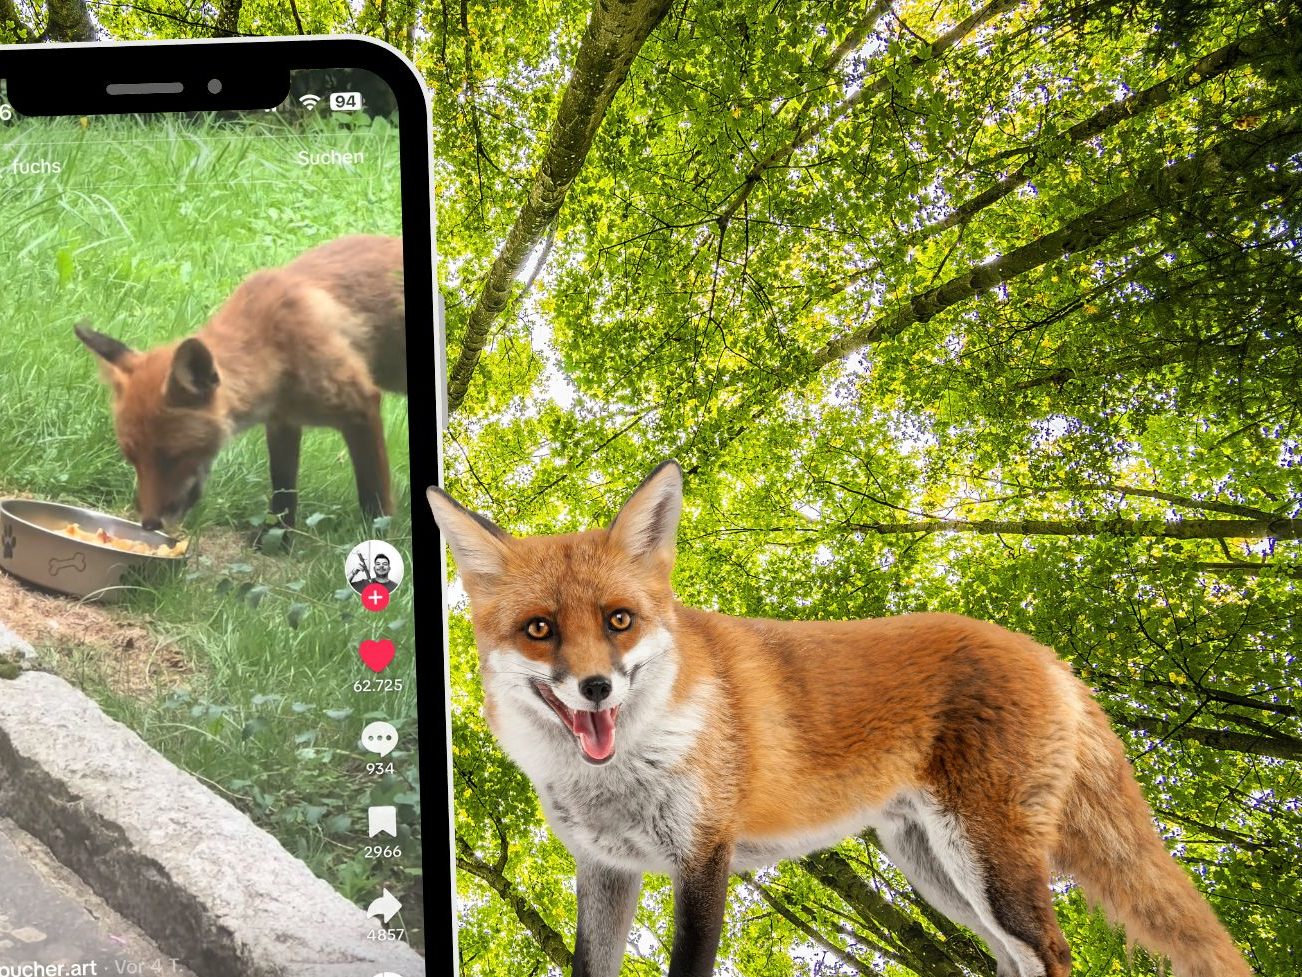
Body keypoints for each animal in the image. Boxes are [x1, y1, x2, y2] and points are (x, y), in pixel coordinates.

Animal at [76, 234, 406, 534]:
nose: (149, 524)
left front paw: (376, 537)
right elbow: (283, 490)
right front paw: (275, 541)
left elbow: (374, 495)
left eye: (172, 457)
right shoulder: (282, 423)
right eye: (132, 458)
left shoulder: (360, 405)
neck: (275, 351)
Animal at [427, 460, 1254, 977]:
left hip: (988, 862)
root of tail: (1045, 651)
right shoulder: (606, 868)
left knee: (1050, 950)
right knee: (1012, 957)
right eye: (540, 629)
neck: (621, 772)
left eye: (618, 619)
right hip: (934, 868)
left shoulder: (704, 855)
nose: (595, 687)